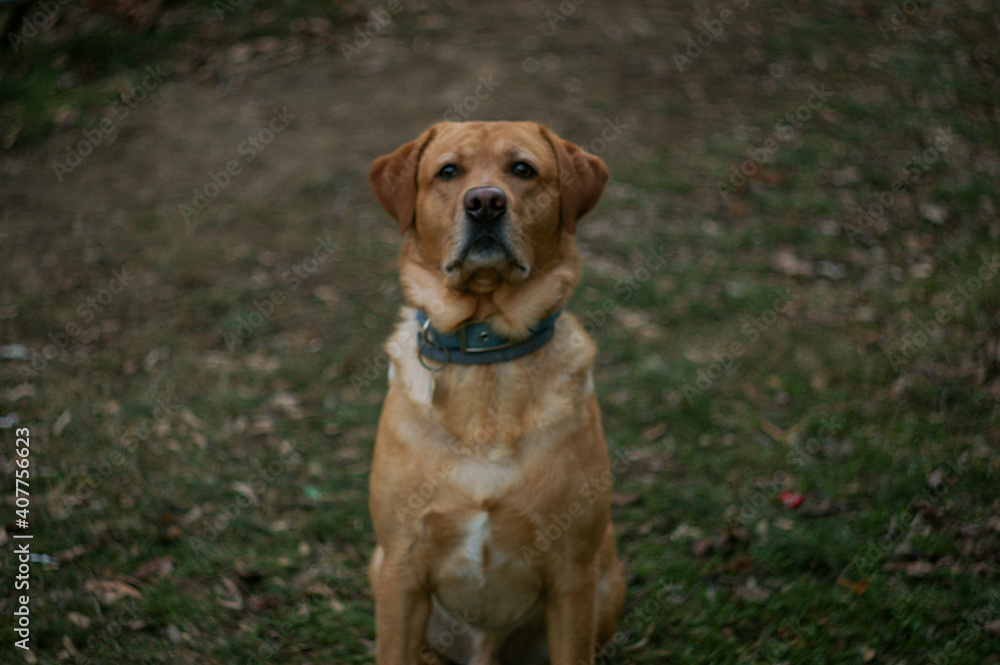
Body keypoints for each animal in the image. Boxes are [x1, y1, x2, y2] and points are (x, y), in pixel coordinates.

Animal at [366, 120, 624, 664]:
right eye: (448, 171)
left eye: (522, 169)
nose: (485, 202)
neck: (486, 352)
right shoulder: (400, 569)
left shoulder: (573, 576)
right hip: (378, 570)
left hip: (607, 582)